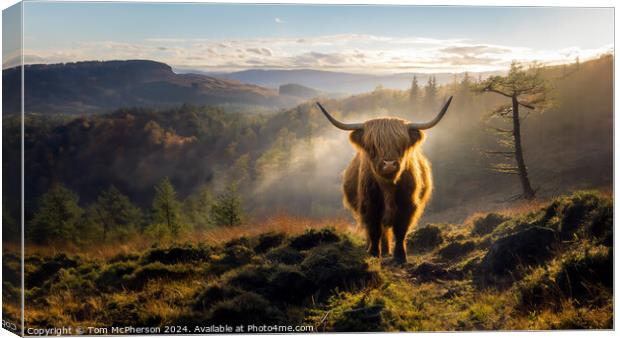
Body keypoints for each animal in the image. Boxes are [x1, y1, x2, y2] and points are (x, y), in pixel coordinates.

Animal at [318, 97, 452, 264]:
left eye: (401, 144)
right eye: (373, 146)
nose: (389, 164)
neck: (388, 186)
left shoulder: (407, 205)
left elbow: (400, 231)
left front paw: (400, 257)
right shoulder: (369, 205)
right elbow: (374, 230)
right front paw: (374, 253)